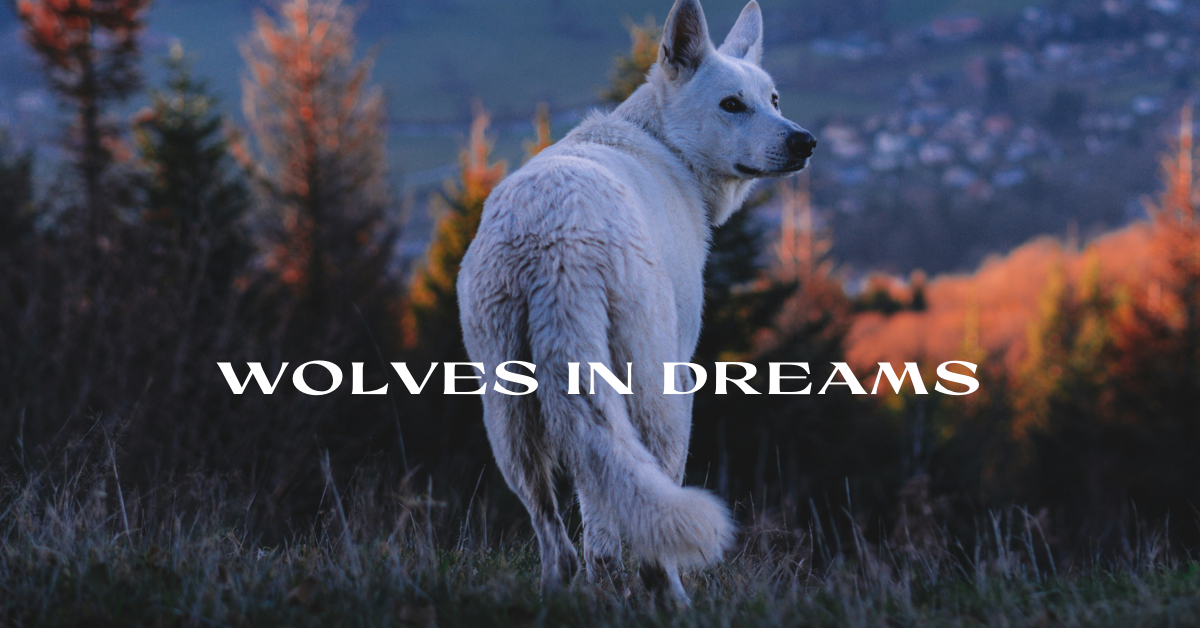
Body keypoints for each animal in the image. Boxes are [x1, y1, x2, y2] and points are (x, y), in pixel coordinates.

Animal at [457, 0, 816, 603]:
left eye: (773, 100)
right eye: (732, 104)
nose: (804, 142)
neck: (664, 145)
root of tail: (553, 240)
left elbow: (597, 511)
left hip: (509, 412)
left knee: (563, 534)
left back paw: (565, 592)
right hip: (661, 392)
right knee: (652, 519)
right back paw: (671, 595)